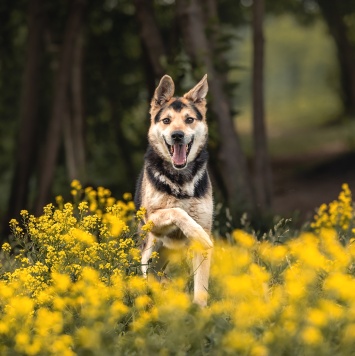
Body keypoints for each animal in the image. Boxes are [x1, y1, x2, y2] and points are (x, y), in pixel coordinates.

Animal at [135, 74, 214, 306]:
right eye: (166, 121)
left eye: (189, 120)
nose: (177, 135)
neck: (181, 178)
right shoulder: (154, 219)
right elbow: (177, 211)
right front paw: (196, 232)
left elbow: (200, 289)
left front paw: (201, 311)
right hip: (148, 257)